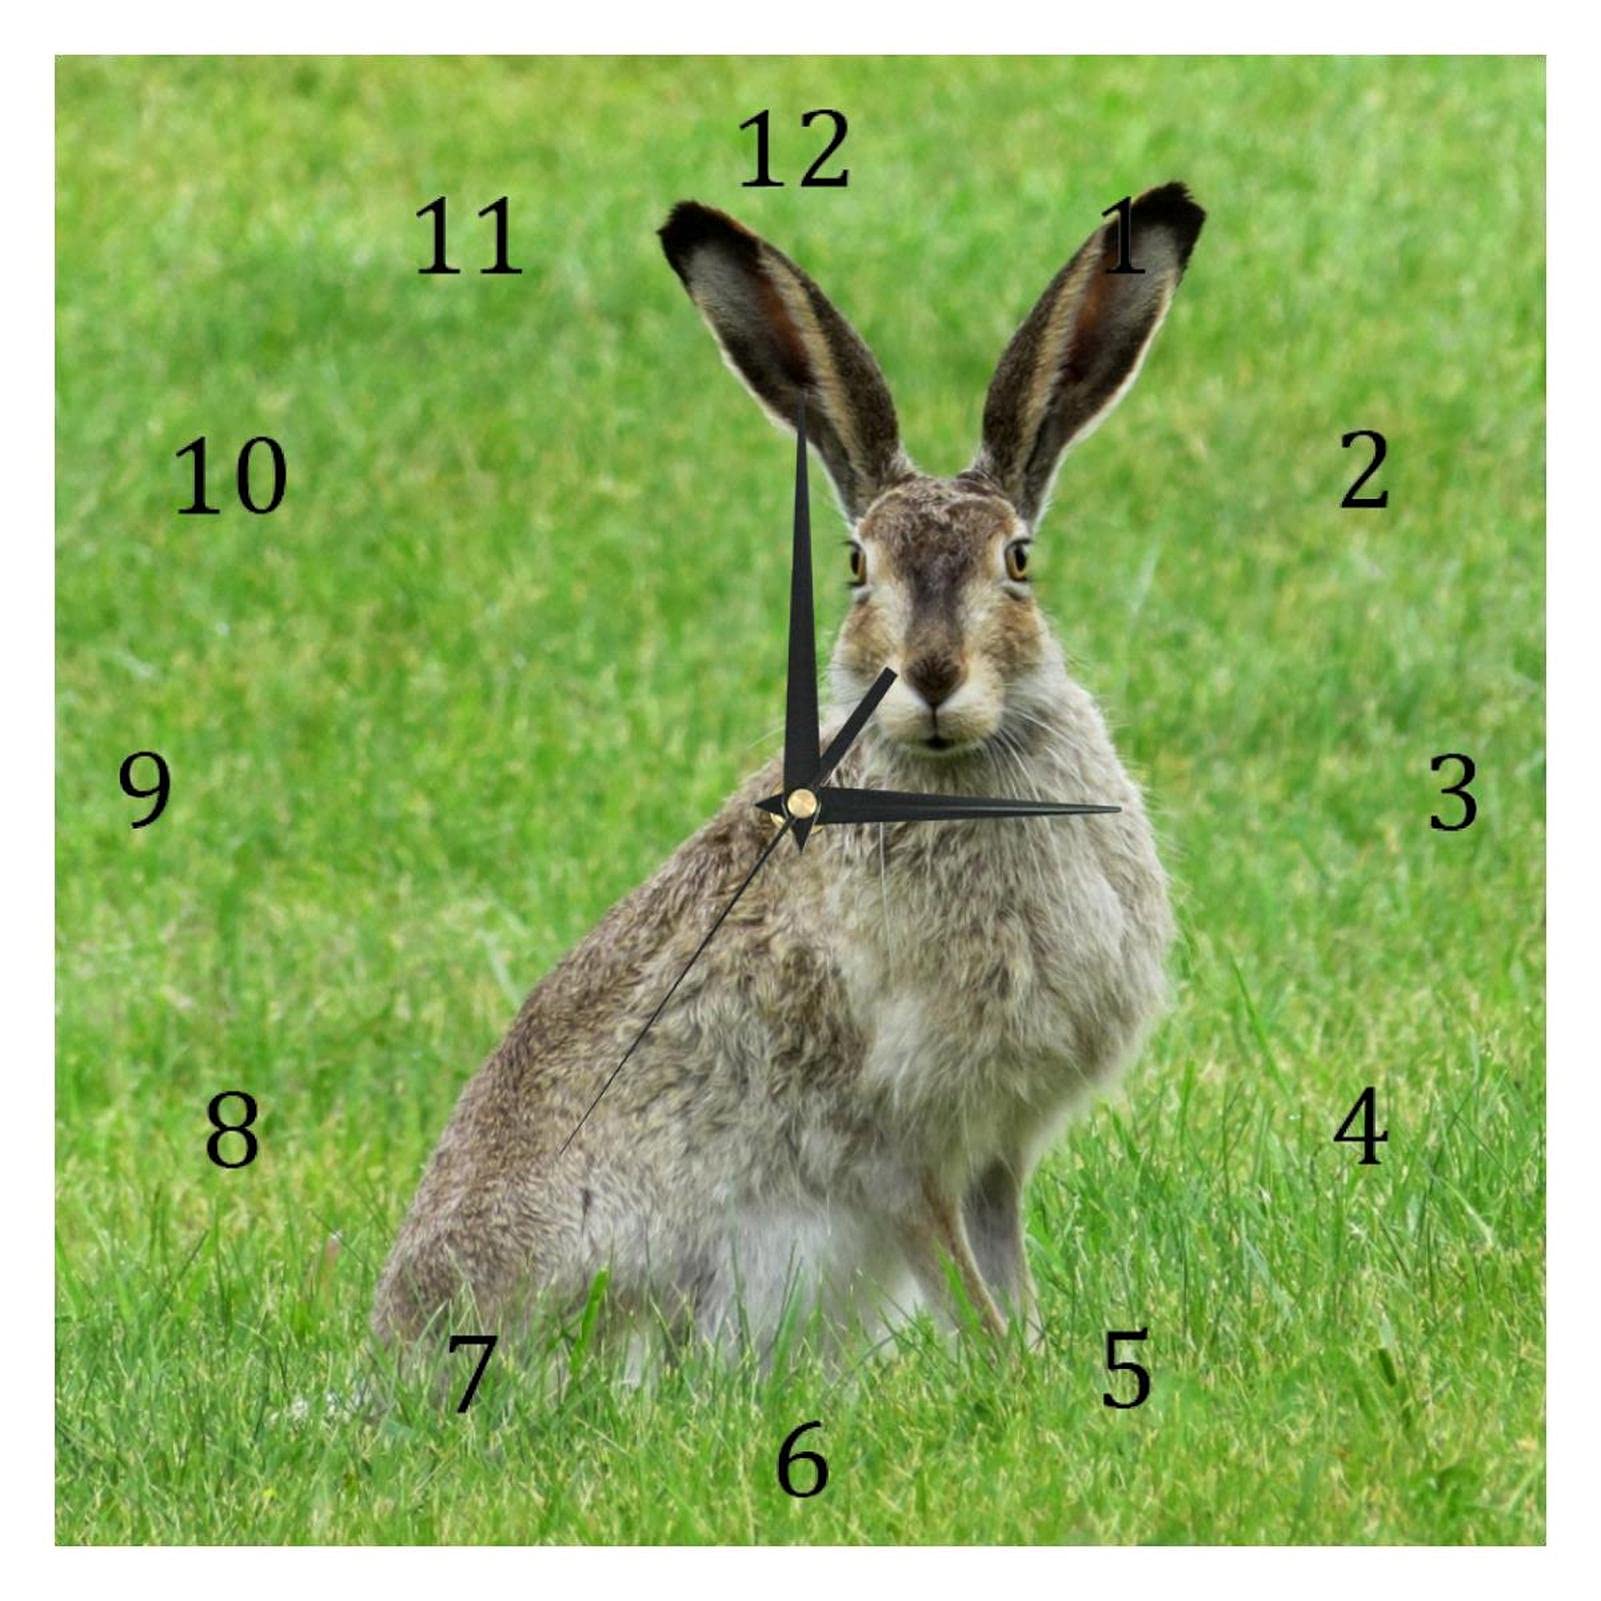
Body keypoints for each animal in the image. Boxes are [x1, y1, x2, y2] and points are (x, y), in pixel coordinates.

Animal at [373, 183, 1203, 1357]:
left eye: (1018, 561)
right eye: (856, 565)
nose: (930, 677)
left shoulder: (993, 1146)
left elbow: (1005, 1266)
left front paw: (1041, 1360)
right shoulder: (897, 1145)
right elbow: (959, 1278)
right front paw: (1010, 1372)